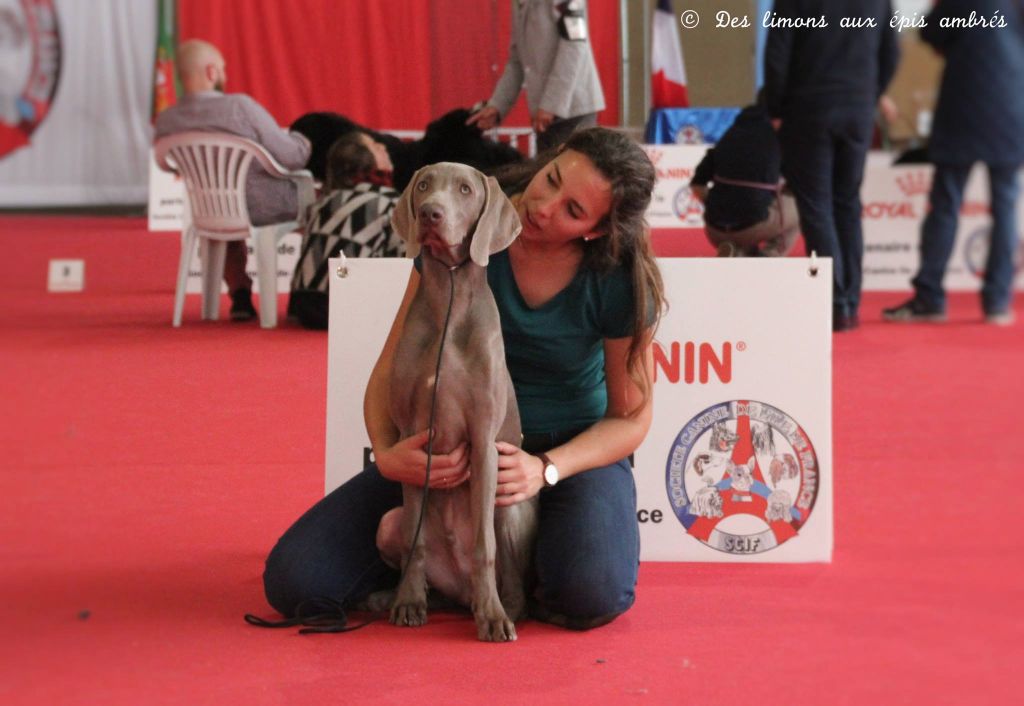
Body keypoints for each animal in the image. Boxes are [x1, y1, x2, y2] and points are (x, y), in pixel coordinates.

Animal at [385, 162, 540, 643]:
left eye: (466, 190)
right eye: (423, 185)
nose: (431, 214)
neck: (450, 305)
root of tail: (458, 592)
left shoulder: (484, 441)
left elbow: (482, 546)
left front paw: (492, 618)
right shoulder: (413, 437)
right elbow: (413, 543)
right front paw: (407, 602)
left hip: (511, 510)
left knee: (509, 575)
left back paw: (501, 610)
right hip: (388, 523)